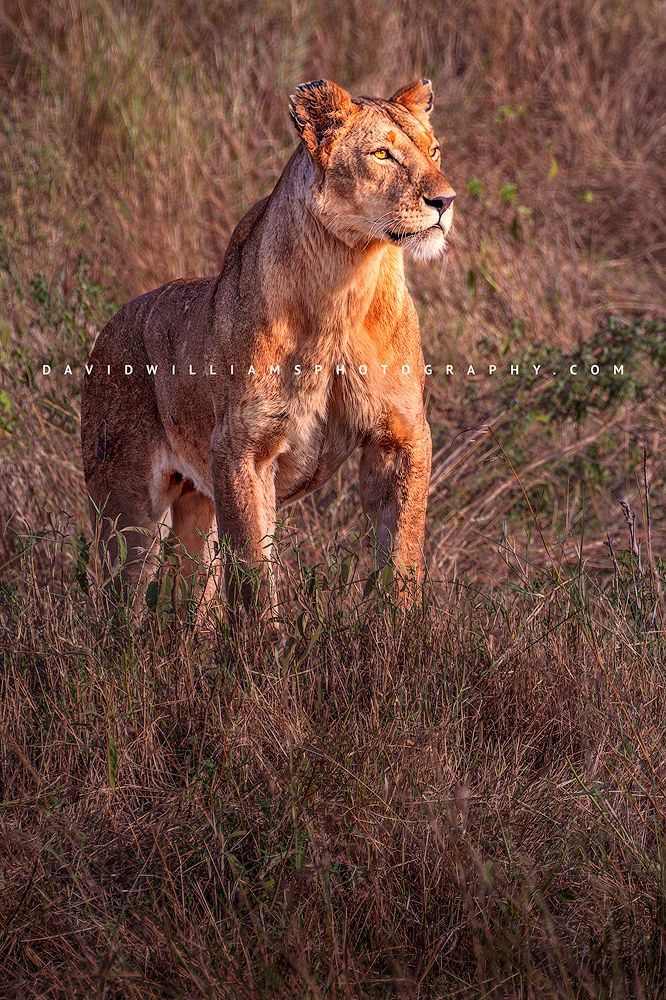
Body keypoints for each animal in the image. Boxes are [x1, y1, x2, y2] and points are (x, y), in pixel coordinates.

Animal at [80, 77, 456, 625]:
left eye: (433, 151)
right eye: (382, 154)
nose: (445, 201)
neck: (345, 282)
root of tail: (107, 328)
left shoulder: (402, 436)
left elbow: (402, 554)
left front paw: (403, 633)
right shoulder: (242, 448)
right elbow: (254, 574)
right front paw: (263, 646)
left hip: (198, 511)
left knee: (193, 598)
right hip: (128, 514)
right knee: (119, 602)